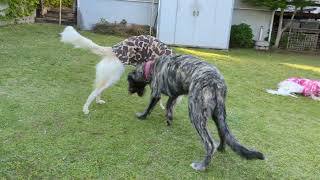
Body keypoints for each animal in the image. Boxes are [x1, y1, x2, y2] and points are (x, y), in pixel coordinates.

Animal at [128, 54, 264, 172]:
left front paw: (142, 116)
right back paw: (221, 148)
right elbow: (168, 107)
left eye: (129, 82)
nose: (128, 91)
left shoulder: (156, 93)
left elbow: (149, 107)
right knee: (223, 133)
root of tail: (216, 82)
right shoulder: (174, 95)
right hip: (218, 114)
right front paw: (168, 120)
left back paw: (202, 166)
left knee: (210, 144)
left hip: (195, 113)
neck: (152, 67)